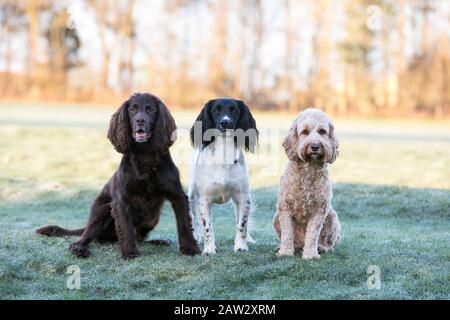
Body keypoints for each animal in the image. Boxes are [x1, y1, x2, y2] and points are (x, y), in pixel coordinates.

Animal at [188, 98, 258, 255]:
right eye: (216, 110)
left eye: (234, 111)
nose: (225, 122)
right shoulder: (204, 200)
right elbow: (207, 227)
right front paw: (209, 249)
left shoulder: (243, 197)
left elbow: (242, 224)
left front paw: (241, 246)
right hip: (191, 194)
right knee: (194, 217)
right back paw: (196, 236)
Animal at [272, 107, 340, 260]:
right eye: (305, 132)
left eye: (322, 131)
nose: (314, 146)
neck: (309, 168)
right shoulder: (285, 207)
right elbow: (287, 233)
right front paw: (285, 252)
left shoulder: (320, 210)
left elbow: (313, 235)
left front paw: (310, 254)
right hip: (276, 218)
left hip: (332, 217)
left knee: (328, 241)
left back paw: (322, 247)